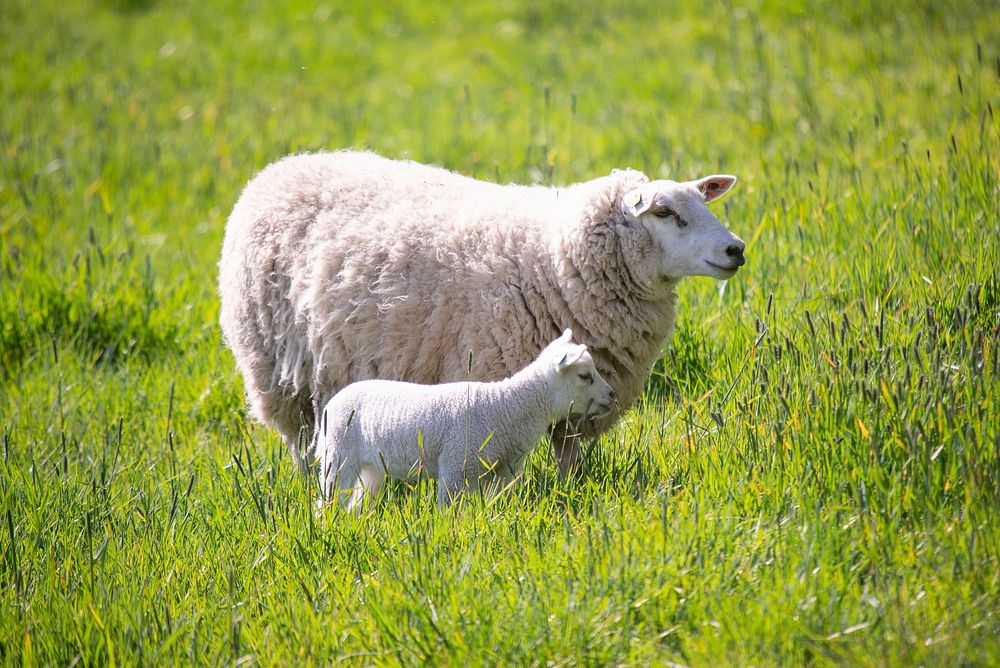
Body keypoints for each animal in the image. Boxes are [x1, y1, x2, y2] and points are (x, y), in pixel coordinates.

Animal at [221, 151, 752, 474]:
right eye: (664, 213)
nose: (736, 250)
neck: (557, 259)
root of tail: (282, 168)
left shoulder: (580, 398)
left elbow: (569, 460)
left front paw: (571, 496)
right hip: (278, 374)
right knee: (300, 441)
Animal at [316, 330, 612, 512]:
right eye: (585, 376)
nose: (612, 395)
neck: (509, 406)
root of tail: (332, 403)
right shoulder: (455, 465)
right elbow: (449, 511)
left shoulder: (504, 470)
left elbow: (497, 503)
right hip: (338, 457)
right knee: (328, 502)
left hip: (372, 468)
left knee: (356, 504)